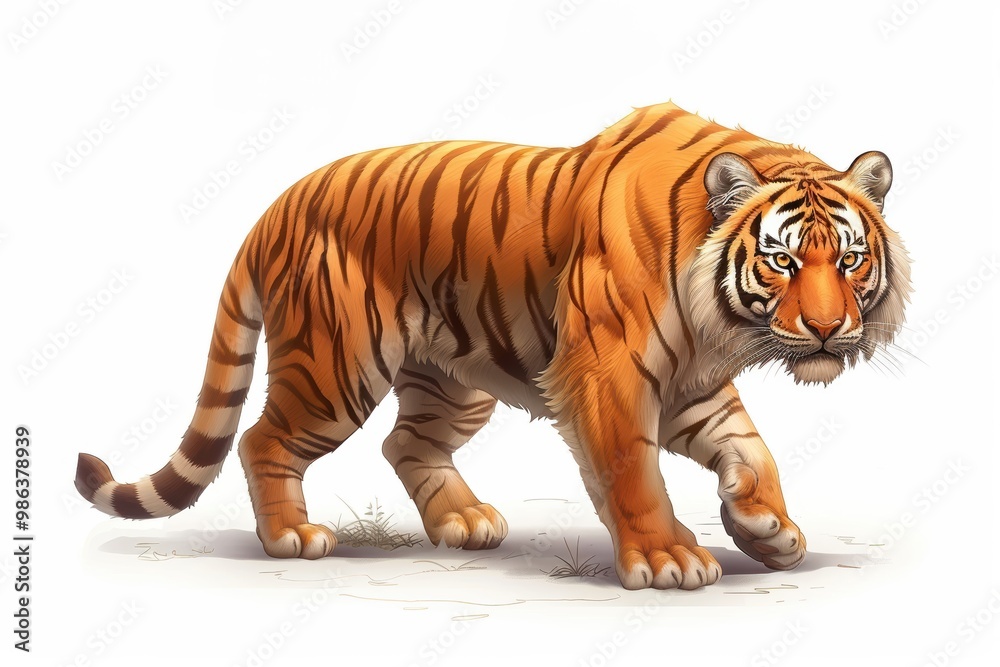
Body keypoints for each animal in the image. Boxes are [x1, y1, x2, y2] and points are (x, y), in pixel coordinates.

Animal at [75, 101, 910, 590]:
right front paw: (668, 557)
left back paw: (464, 523)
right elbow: (632, 470)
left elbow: (752, 448)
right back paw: (291, 536)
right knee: (262, 439)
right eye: (783, 261)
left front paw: (766, 528)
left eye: (848, 259)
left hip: (453, 380)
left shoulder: (693, 383)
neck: (721, 322)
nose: (828, 327)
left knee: (406, 444)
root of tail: (277, 204)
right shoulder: (609, 370)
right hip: (335, 368)